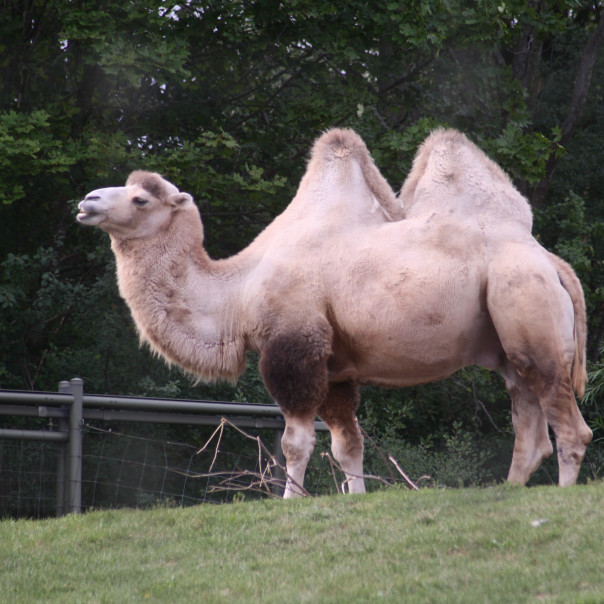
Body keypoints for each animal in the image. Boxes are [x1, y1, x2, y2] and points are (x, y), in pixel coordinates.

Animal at [75, 126, 588, 496]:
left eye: (140, 198)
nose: (87, 201)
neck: (238, 290)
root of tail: (552, 262)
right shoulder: (337, 367)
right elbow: (348, 446)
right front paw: (355, 499)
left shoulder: (294, 346)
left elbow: (295, 442)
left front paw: (291, 502)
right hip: (509, 340)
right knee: (530, 425)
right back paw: (509, 490)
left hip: (526, 299)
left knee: (568, 424)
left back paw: (561, 497)